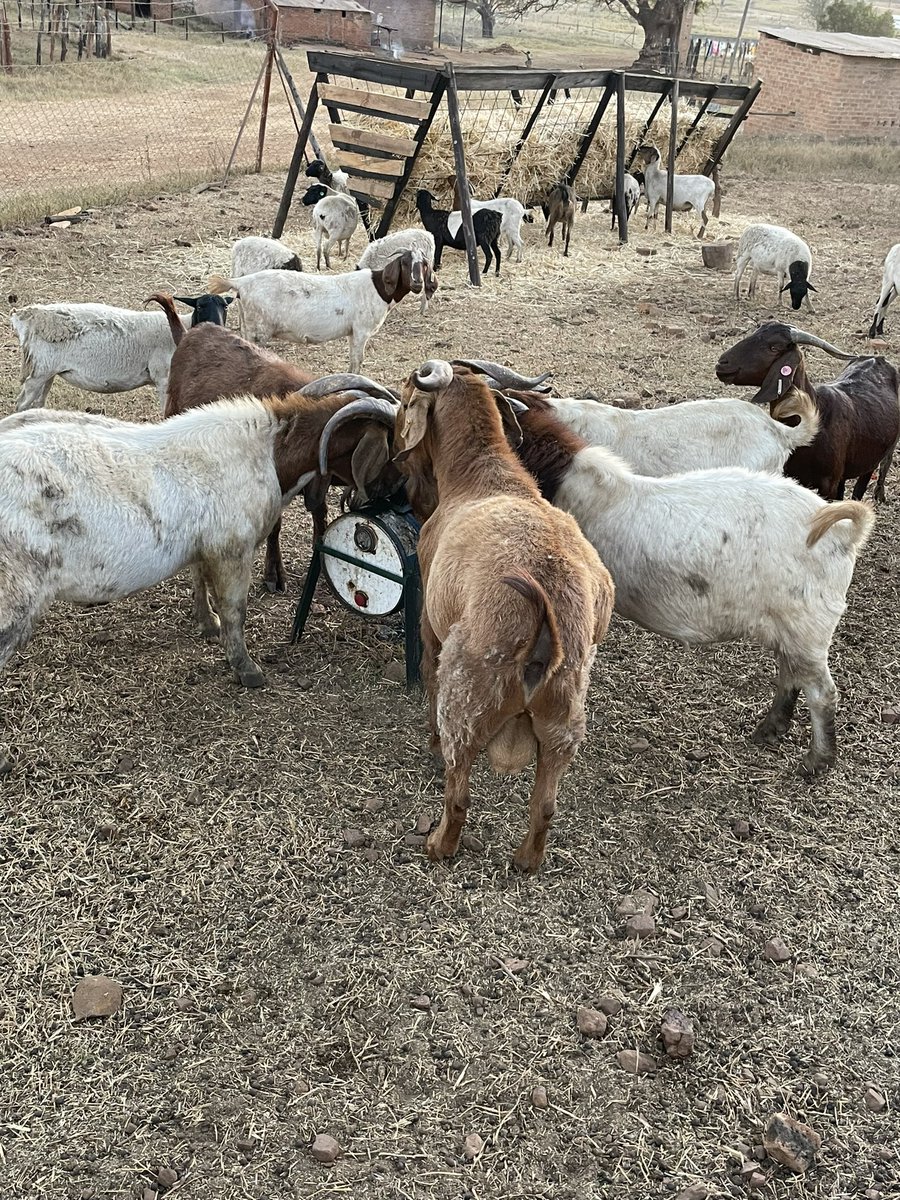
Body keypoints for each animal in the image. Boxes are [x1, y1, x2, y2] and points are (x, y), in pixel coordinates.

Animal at [9, 295, 231, 412]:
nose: (216, 326)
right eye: (200, 306)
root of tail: (27, 315)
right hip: (38, 373)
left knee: (37, 403)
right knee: (21, 404)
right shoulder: (164, 378)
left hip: (46, 372)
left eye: (225, 306)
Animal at [154, 298, 401, 593]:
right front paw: (274, 574)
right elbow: (275, 526)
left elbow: (320, 513)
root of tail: (191, 333)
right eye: (393, 450)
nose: (396, 490)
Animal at [206, 250, 433, 372]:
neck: (378, 288)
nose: (417, 284)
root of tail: (242, 282)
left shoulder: (352, 332)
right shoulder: (361, 330)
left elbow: (352, 359)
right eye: (404, 263)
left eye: (424, 265)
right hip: (258, 329)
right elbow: (358, 360)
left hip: (247, 324)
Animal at [316, 361, 614, 872]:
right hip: (564, 723)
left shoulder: (429, 621)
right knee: (545, 805)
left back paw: (439, 844)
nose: (396, 455)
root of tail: (546, 631)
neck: (486, 475)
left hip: (468, 699)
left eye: (404, 402)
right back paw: (526, 859)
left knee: (459, 793)